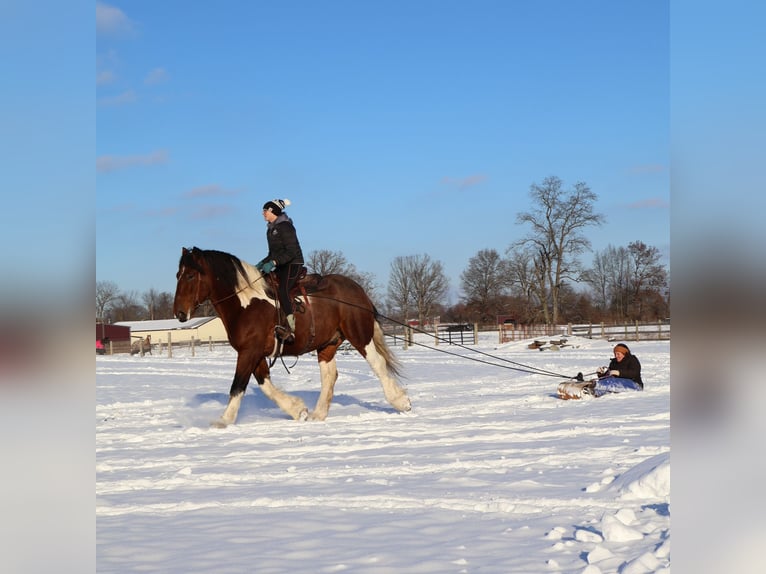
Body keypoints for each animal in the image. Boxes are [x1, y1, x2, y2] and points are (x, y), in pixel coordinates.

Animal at [173, 247, 411, 427]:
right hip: (328, 343)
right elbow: (265, 384)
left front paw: (224, 420)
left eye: (191, 275)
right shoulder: (255, 353)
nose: (180, 313)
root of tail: (357, 290)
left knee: (377, 363)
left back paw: (400, 401)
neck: (246, 304)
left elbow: (238, 385)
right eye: (178, 275)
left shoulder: (249, 352)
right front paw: (297, 409)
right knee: (329, 375)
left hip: (359, 335)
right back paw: (318, 414)